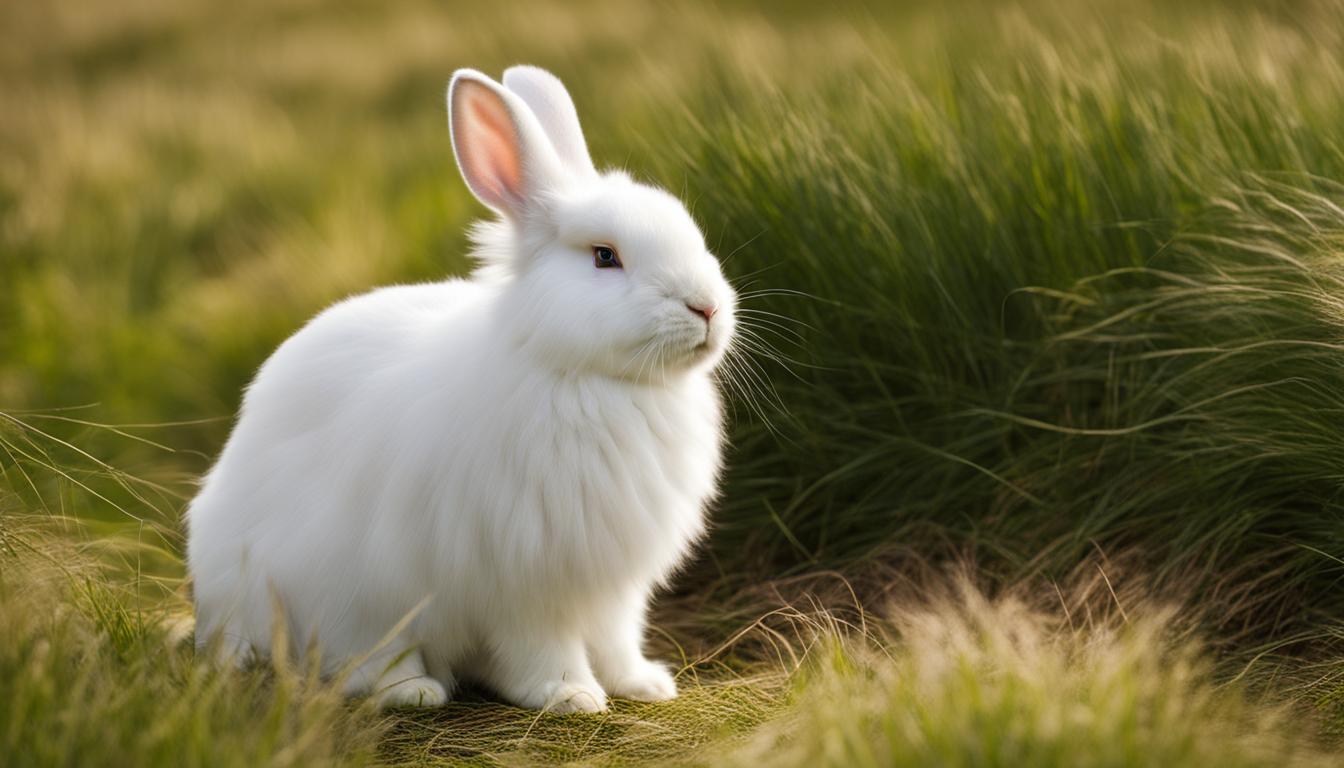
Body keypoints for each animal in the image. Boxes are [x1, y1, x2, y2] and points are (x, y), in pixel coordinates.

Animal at [186, 65, 737, 712]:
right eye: (605, 256)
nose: (707, 307)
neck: (577, 371)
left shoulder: (612, 585)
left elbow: (616, 636)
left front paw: (643, 683)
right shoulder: (527, 576)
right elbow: (542, 643)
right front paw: (569, 694)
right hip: (349, 585)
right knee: (359, 659)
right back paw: (416, 690)